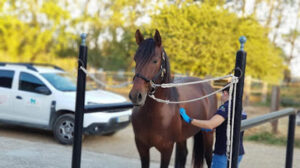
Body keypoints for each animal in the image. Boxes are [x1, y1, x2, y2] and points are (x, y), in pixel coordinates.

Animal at [129, 29, 218, 167]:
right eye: (135, 59)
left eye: (155, 60)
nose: (135, 96)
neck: (153, 114)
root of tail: (207, 86)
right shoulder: (142, 149)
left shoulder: (167, 149)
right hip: (183, 138)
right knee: (183, 154)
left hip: (208, 134)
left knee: (209, 157)